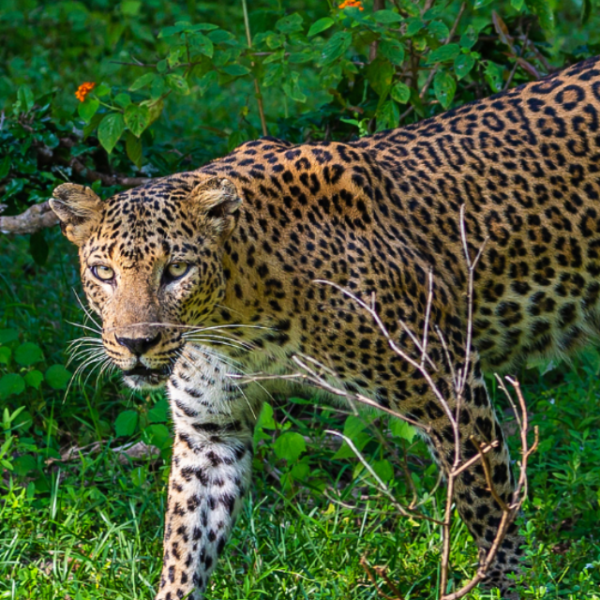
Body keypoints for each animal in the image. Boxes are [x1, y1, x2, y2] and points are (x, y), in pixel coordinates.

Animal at [48, 54, 600, 596]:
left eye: (177, 270)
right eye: (104, 272)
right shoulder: (209, 434)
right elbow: (185, 544)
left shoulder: (450, 388)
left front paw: (514, 584)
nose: (136, 342)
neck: (237, 324)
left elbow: (487, 505)